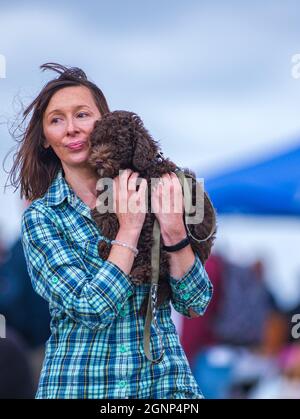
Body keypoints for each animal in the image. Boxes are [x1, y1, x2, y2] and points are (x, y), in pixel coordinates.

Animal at [88, 110, 217, 316]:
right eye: (97, 142)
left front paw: (106, 222)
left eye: (117, 142)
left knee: (159, 261)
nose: (98, 159)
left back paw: (139, 270)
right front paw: (104, 216)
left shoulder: (147, 204)